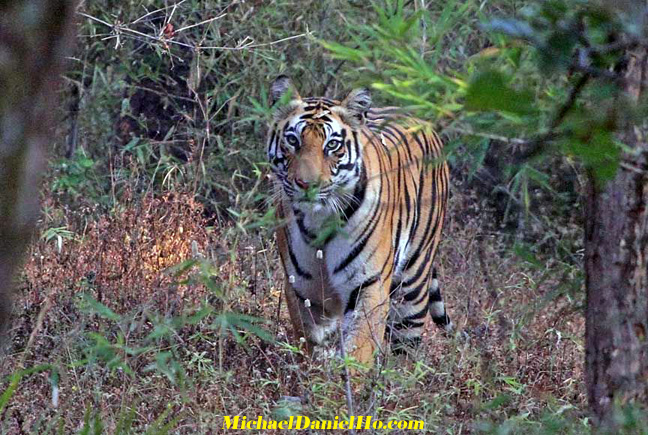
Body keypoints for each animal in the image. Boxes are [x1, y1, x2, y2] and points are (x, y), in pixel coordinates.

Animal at [268, 76, 450, 366]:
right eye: (292, 140)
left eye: (332, 145)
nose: (307, 185)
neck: (319, 221)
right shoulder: (302, 290)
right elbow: (310, 344)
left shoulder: (370, 287)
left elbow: (358, 352)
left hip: (412, 289)